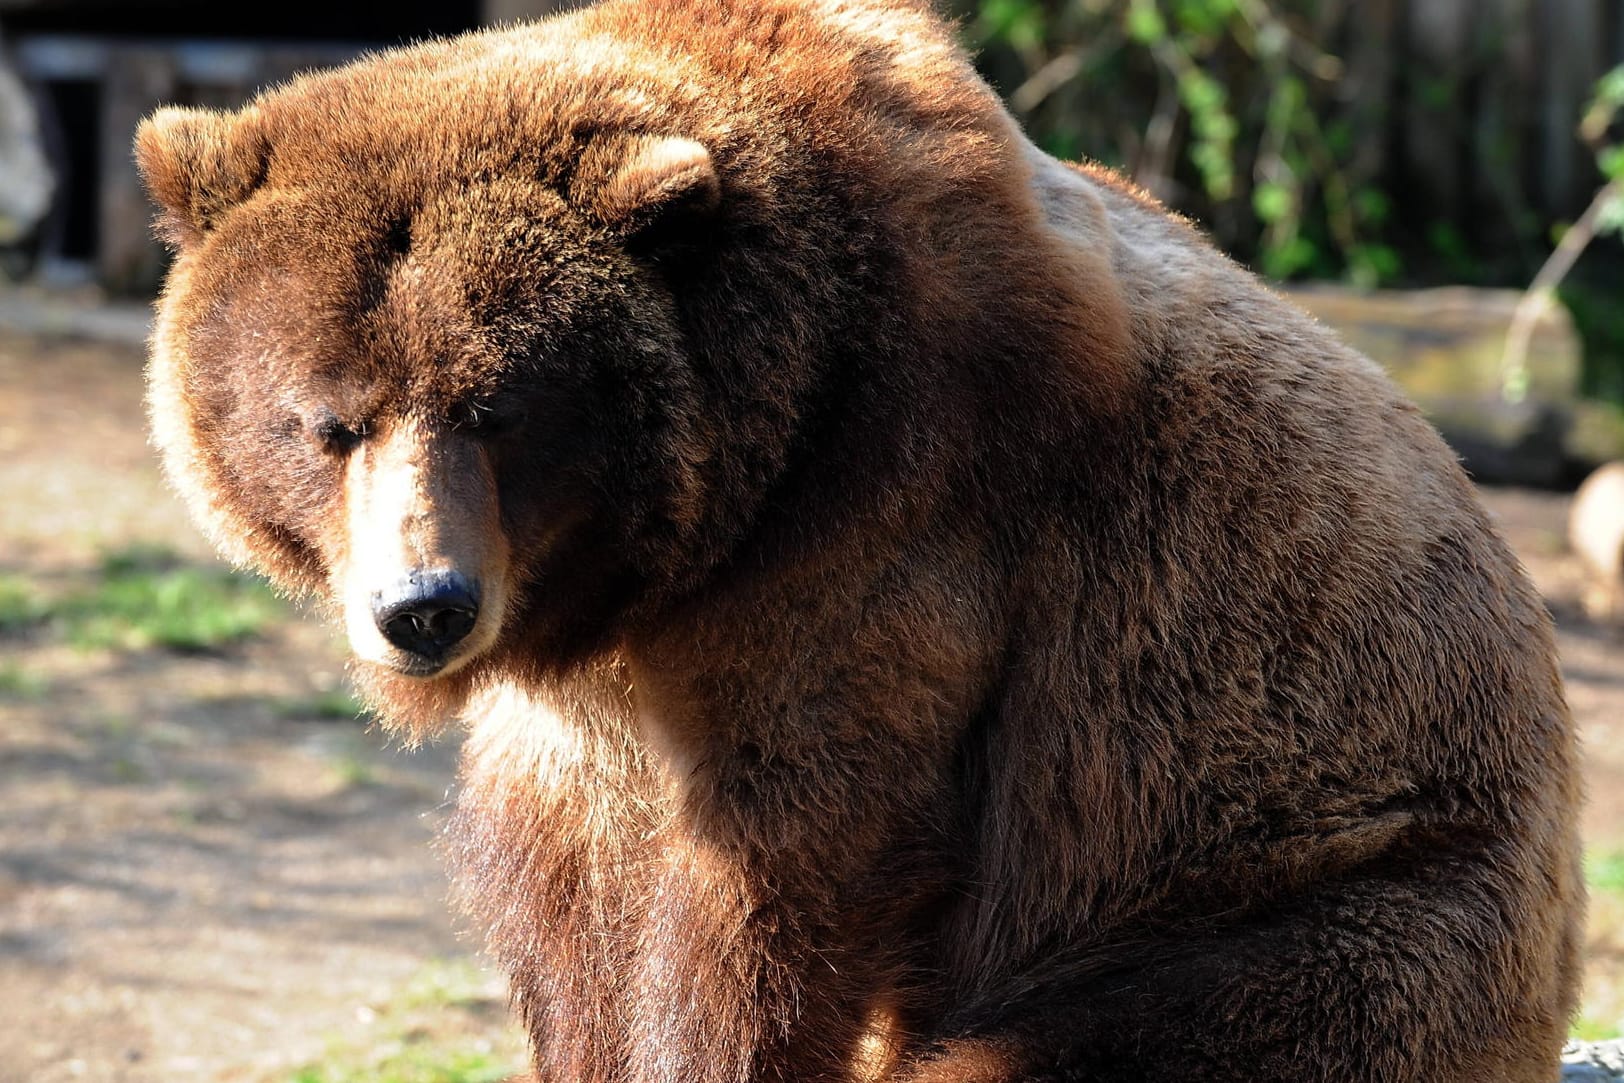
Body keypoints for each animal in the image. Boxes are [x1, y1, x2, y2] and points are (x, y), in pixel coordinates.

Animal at [133, 2, 1578, 1083]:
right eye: (329, 418)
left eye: (497, 406)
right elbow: (577, 890)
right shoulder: (596, 697)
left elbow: (777, 877)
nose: (422, 605)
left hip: (1318, 895)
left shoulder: (891, 524)